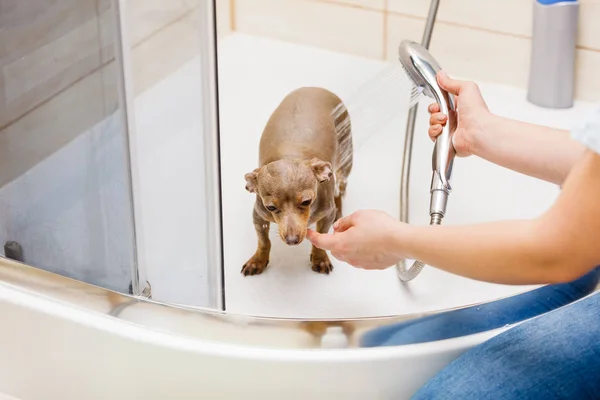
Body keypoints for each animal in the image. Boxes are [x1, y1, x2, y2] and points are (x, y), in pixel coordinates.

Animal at [243, 87, 352, 276]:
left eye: (307, 201)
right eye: (270, 207)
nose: (292, 240)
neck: (290, 153)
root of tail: (314, 87)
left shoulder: (326, 214)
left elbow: (321, 238)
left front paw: (319, 258)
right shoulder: (258, 216)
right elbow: (264, 241)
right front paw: (258, 261)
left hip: (345, 161)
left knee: (340, 190)